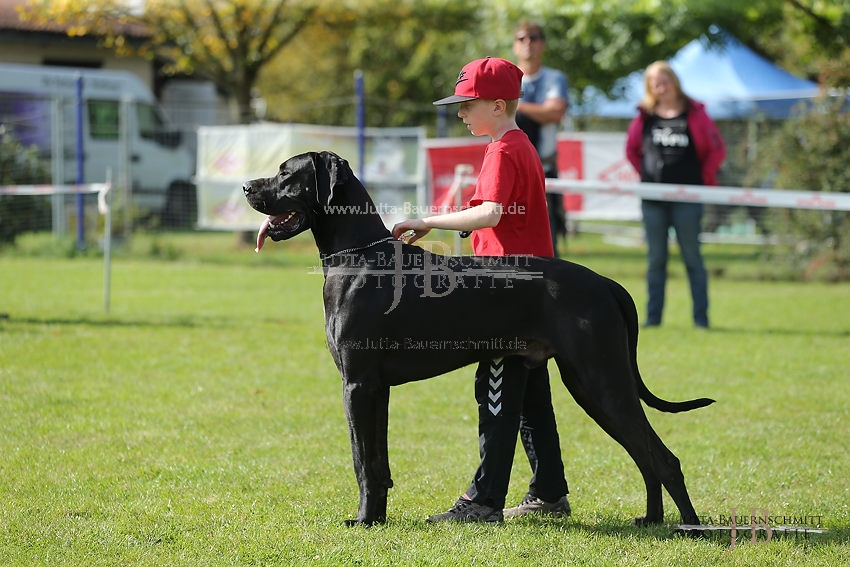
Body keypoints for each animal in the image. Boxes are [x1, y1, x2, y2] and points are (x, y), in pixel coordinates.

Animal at [242, 150, 712, 528]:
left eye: (286, 174)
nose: (246, 186)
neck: (359, 257)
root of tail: (607, 283)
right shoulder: (377, 389)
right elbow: (378, 461)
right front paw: (377, 516)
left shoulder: (357, 385)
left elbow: (363, 461)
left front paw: (363, 520)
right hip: (590, 384)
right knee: (645, 455)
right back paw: (651, 519)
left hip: (600, 379)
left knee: (663, 458)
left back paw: (688, 527)